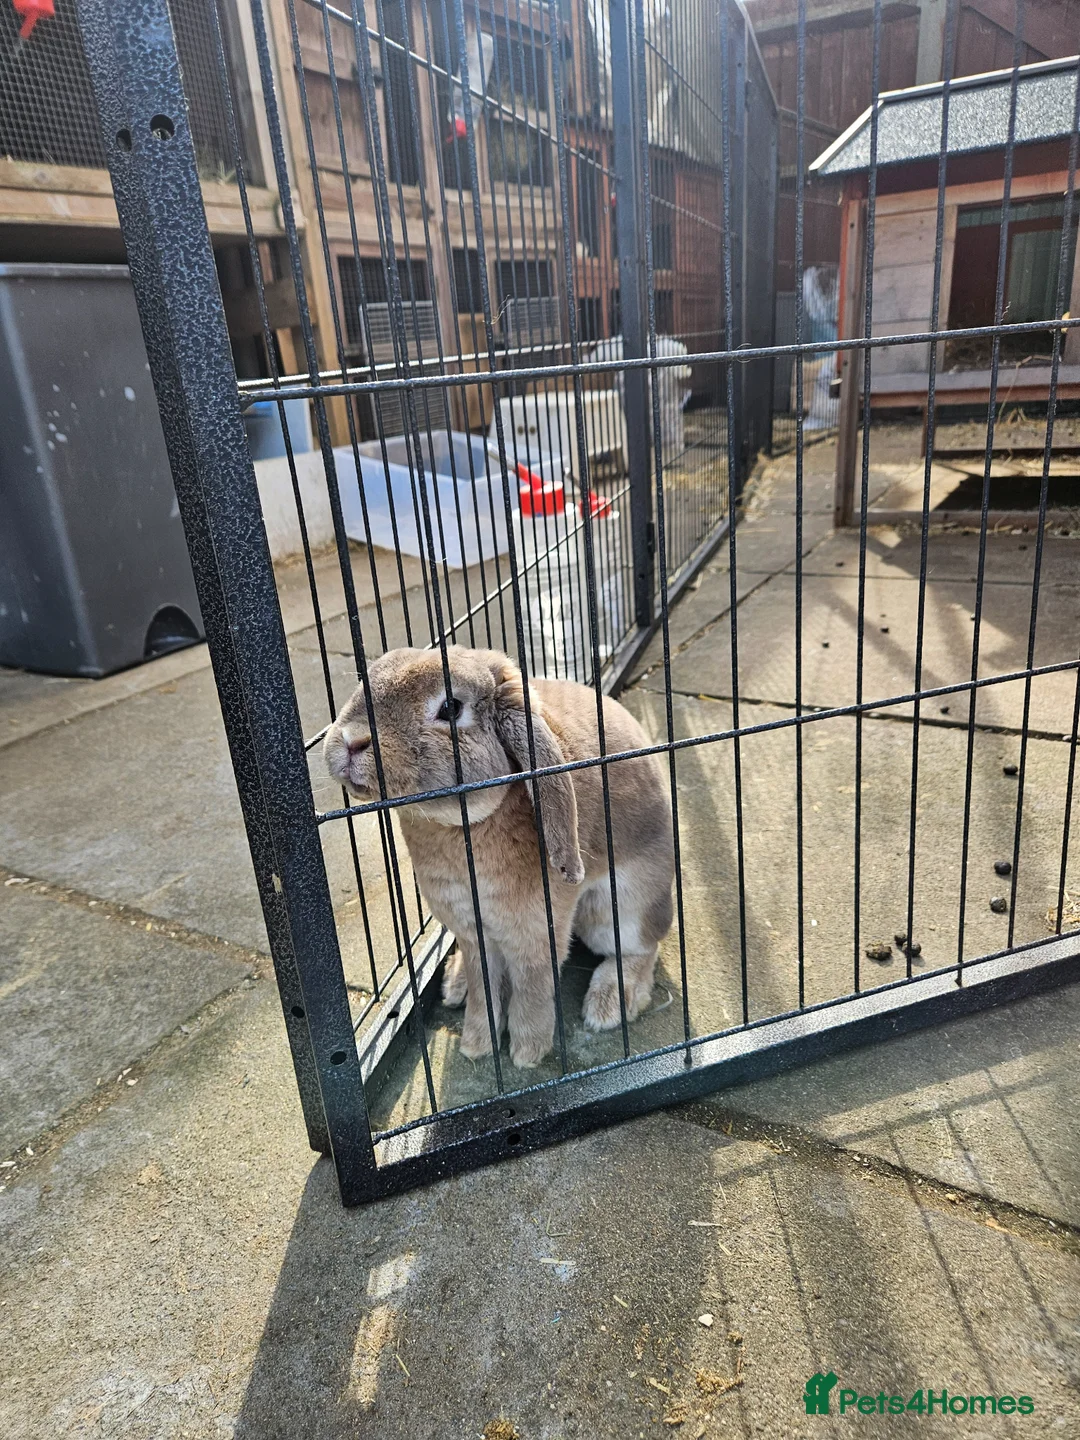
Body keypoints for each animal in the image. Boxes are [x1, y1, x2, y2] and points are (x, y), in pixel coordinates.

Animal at [323, 645, 674, 1069]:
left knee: (643, 947)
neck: (458, 825)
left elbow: (533, 986)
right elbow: (483, 986)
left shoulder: (536, 932)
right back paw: (454, 984)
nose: (350, 741)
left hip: (620, 910)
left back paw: (610, 1004)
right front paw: (477, 1043)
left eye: (451, 707)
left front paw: (526, 1052)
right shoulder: (472, 932)